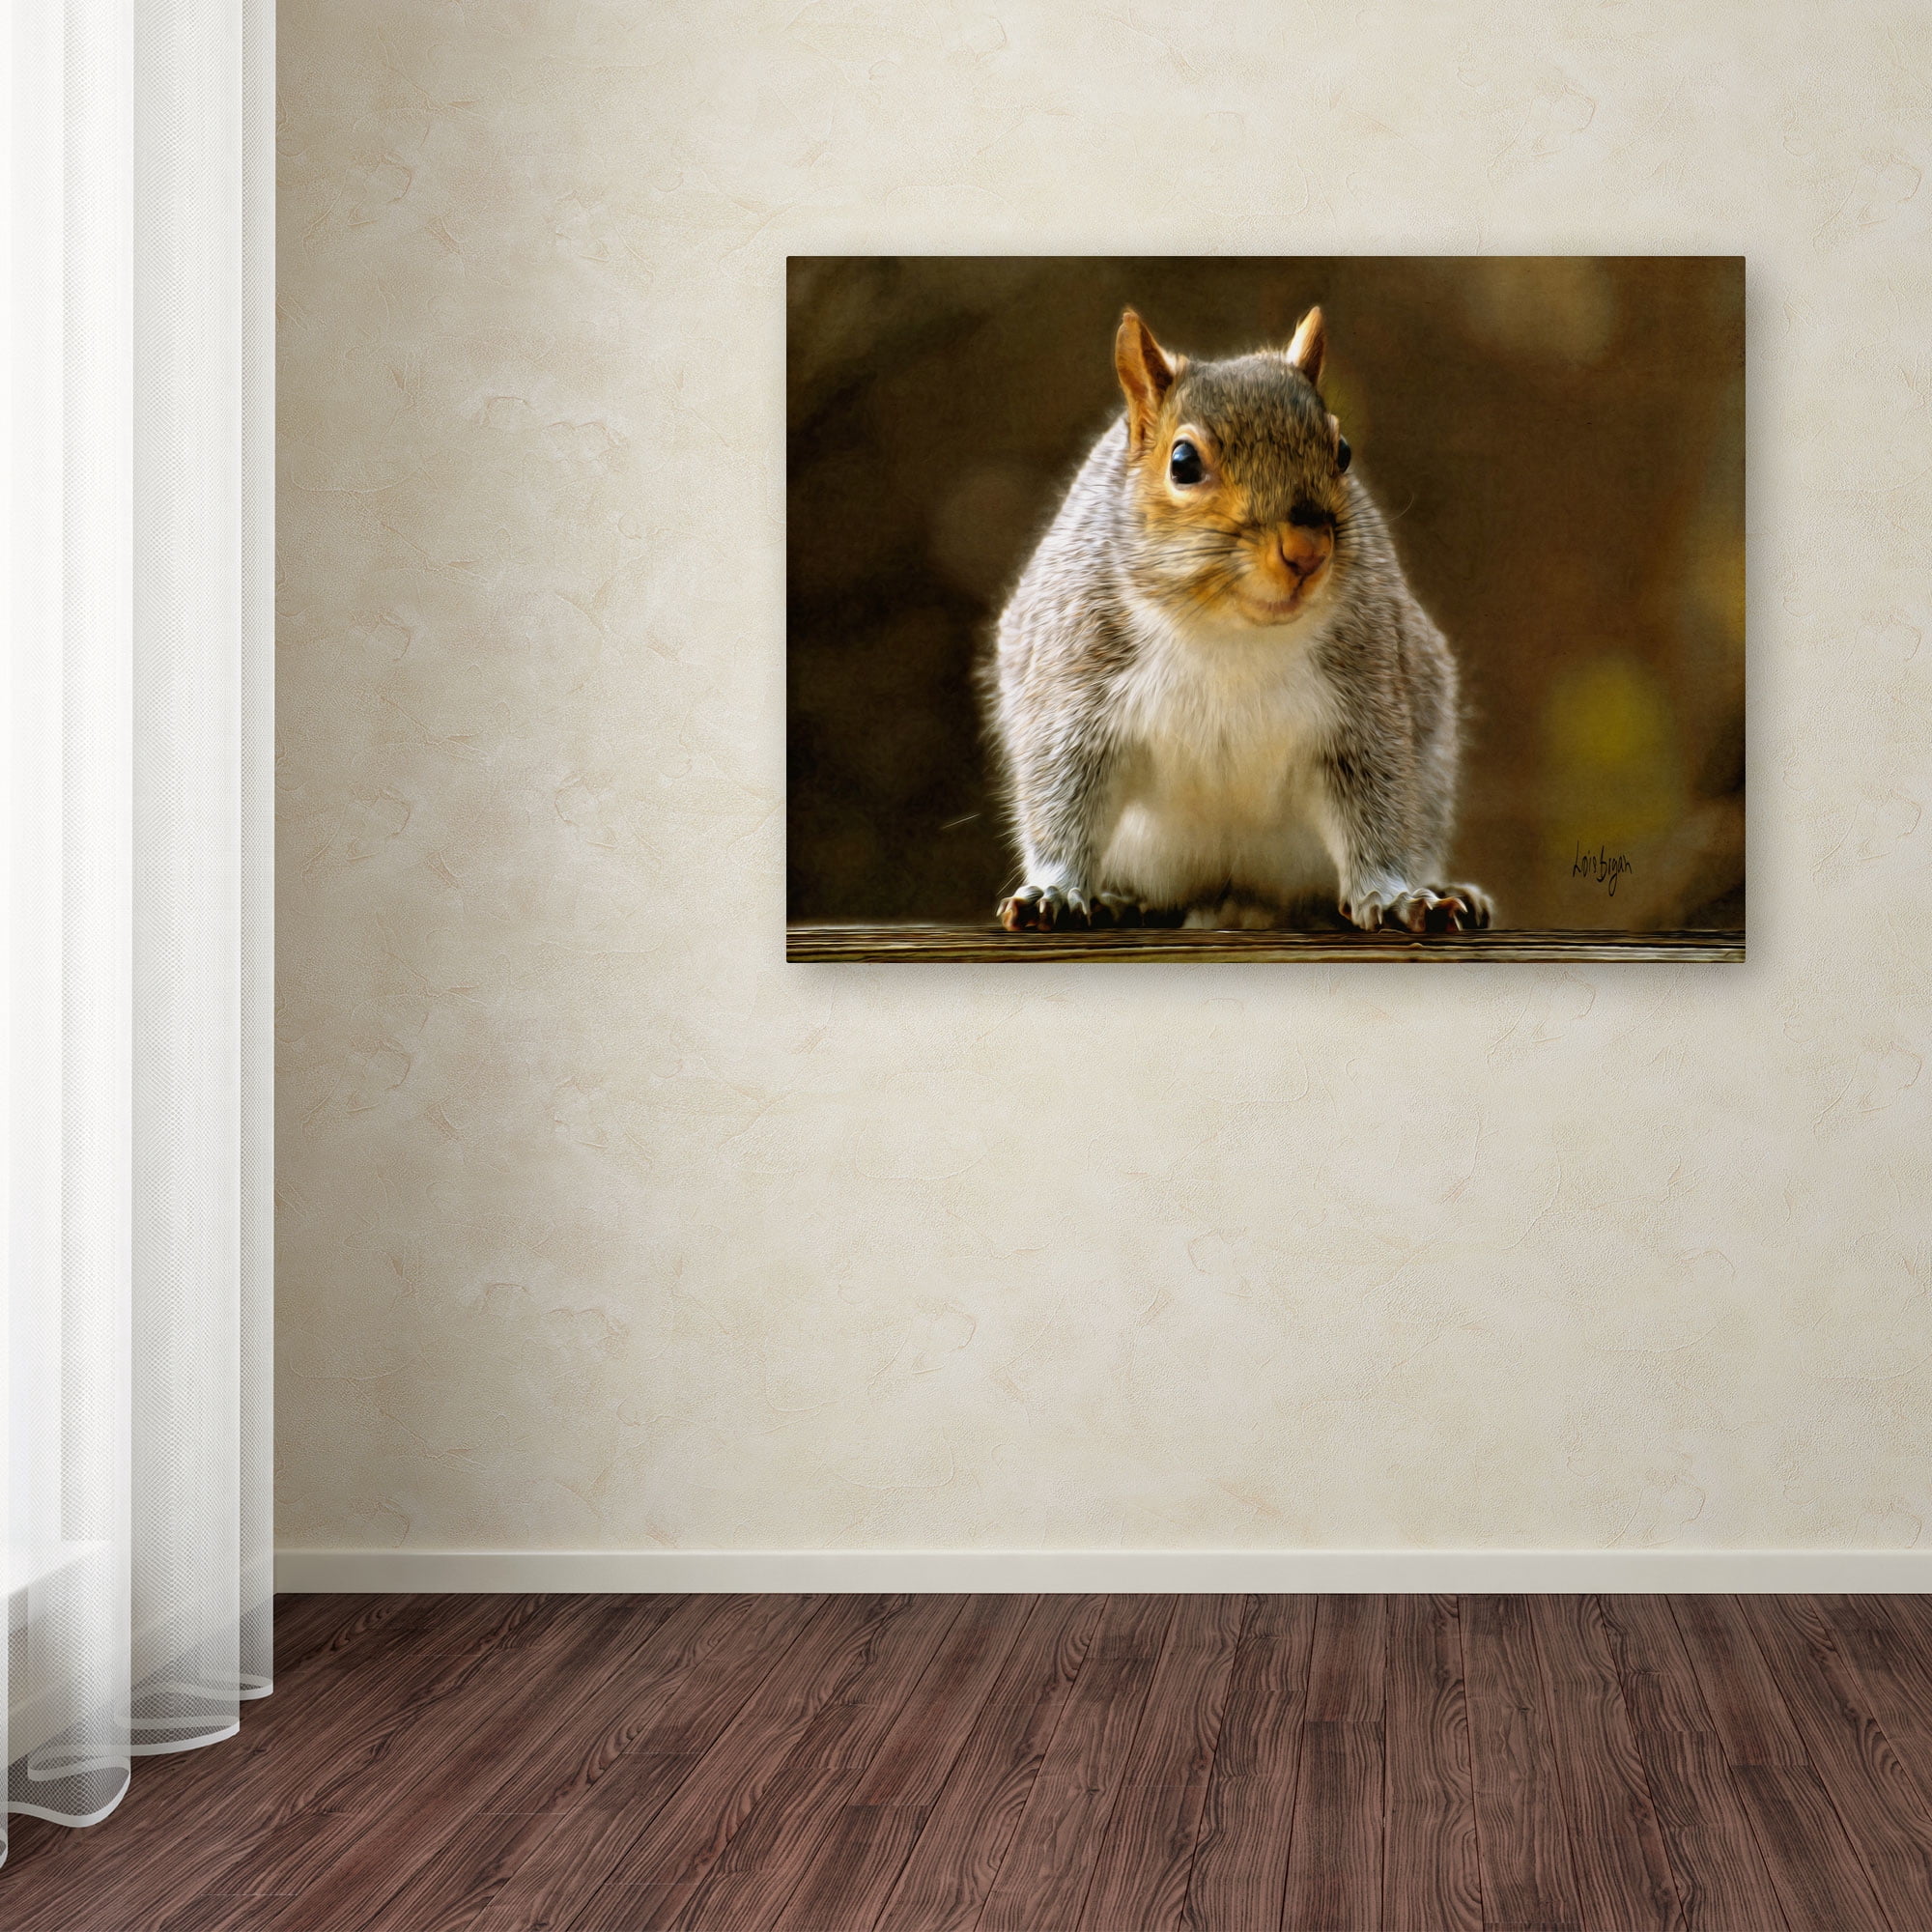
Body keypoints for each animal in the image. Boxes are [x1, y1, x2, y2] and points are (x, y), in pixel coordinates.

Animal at [985, 306, 1492, 935]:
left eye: (1342, 451)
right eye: (1182, 463)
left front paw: (1396, 896)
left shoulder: (1363, 708)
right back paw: (1119, 899)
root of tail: (1235, 899)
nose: (1307, 550)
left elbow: (1376, 810)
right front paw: (1055, 890)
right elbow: (1064, 797)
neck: (1230, 637)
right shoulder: (1078, 693)